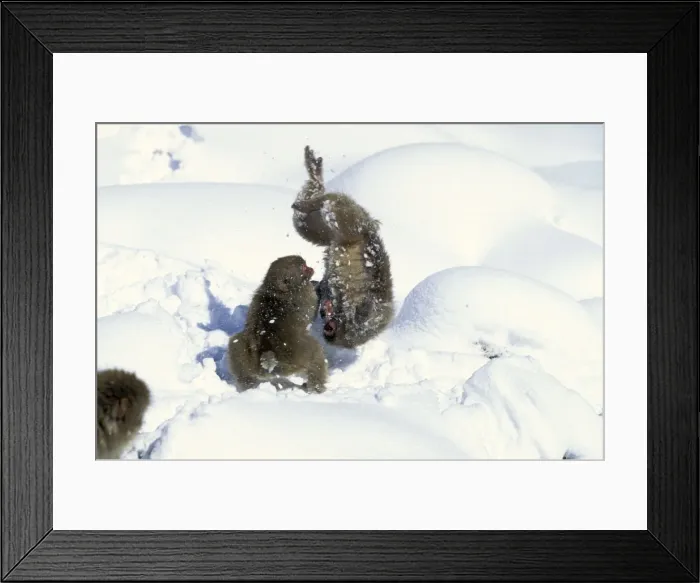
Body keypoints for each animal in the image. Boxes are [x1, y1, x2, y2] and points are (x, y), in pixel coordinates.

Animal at [227, 255, 329, 393]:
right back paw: (316, 388)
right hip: (296, 357)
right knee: (316, 353)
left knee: (235, 342)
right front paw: (318, 285)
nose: (311, 268)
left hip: (250, 360)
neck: (277, 289)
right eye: (303, 267)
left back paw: (247, 385)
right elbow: (311, 312)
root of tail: (267, 352)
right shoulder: (304, 297)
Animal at [291, 145, 394, 349]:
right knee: (333, 204)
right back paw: (313, 193)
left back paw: (313, 184)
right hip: (350, 223)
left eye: (345, 337)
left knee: (307, 224)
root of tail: (367, 225)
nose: (329, 330)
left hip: (336, 229)